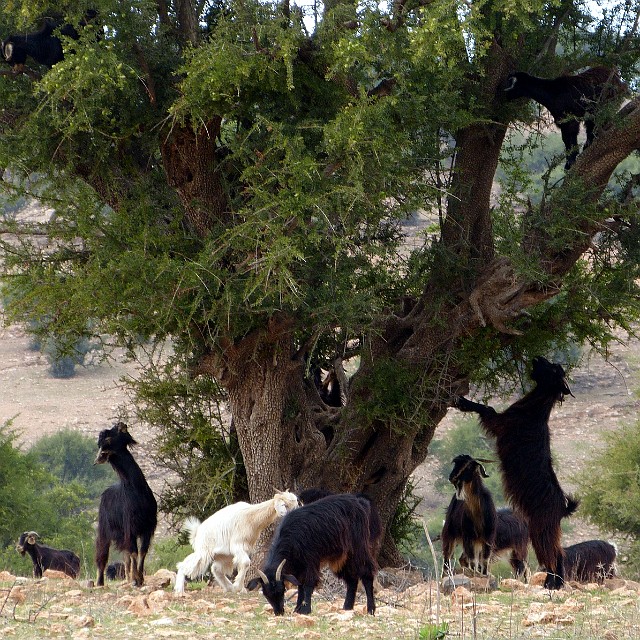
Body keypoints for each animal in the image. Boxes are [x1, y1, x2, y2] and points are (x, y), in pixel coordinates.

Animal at [95, 422, 158, 588]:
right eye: (107, 439)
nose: (121, 424)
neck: (136, 491)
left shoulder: (147, 527)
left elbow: (142, 552)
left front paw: (140, 578)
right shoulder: (130, 528)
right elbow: (135, 552)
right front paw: (136, 580)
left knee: (126, 556)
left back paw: (128, 578)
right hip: (104, 529)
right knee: (102, 554)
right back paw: (99, 582)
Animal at [246, 496, 378, 616]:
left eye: (281, 590)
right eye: (266, 593)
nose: (279, 612)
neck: (291, 536)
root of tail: (360, 502)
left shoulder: (310, 560)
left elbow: (308, 584)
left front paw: (305, 610)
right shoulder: (297, 566)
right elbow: (300, 585)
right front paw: (297, 609)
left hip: (358, 548)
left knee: (366, 573)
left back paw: (371, 609)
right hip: (341, 558)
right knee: (351, 579)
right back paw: (347, 608)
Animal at [450, 358, 580, 588]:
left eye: (552, 368)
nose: (538, 358)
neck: (534, 410)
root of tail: (562, 508)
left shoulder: (500, 423)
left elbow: (487, 408)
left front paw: (461, 401)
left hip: (541, 528)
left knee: (553, 555)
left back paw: (552, 584)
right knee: (556, 554)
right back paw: (553, 584)